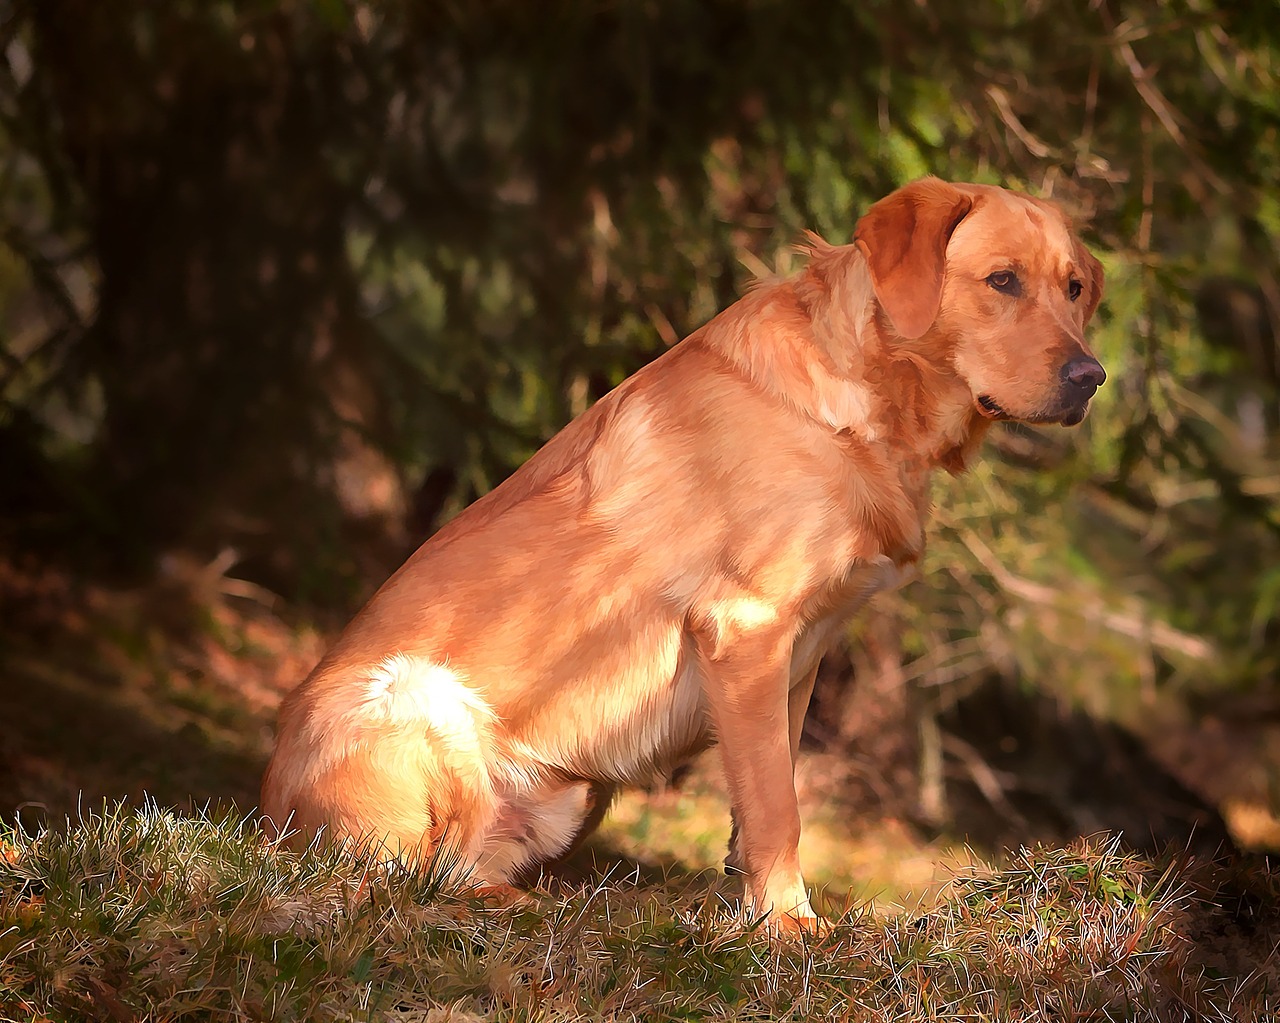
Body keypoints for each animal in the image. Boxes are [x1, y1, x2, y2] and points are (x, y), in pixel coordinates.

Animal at [257, 177, 1100, 937]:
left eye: (1075, 288)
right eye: (1002, 280)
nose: (1093, 377)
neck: (866, 401)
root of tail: (268, 820)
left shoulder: (800, 656)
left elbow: (763, 798)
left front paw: (751, 908)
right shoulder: (747, 626)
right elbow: (777, 806)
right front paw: (787, 927)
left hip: (568, 792)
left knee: (459, 871)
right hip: (411, 693)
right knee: (402, 879)